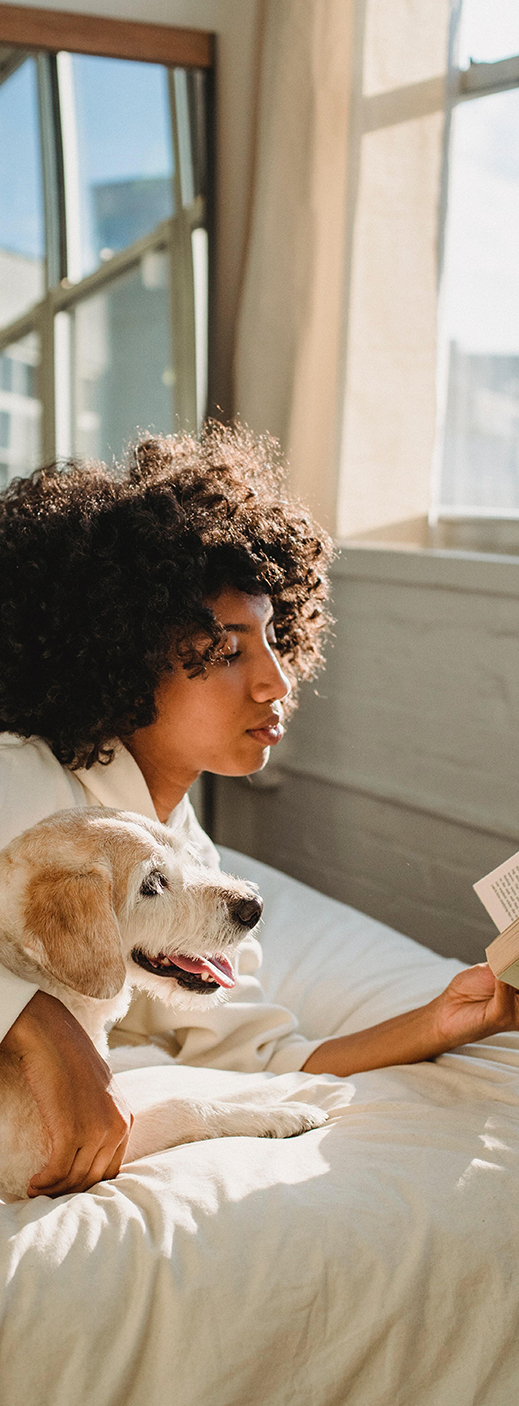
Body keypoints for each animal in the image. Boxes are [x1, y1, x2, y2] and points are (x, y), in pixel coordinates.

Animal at [0, 804, 324, 1197]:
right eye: (152, 884)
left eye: (186, 857)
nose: (254, 906)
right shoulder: (51, 1164)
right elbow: (185, 1106)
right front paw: (281, 1113)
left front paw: (151, 1053)